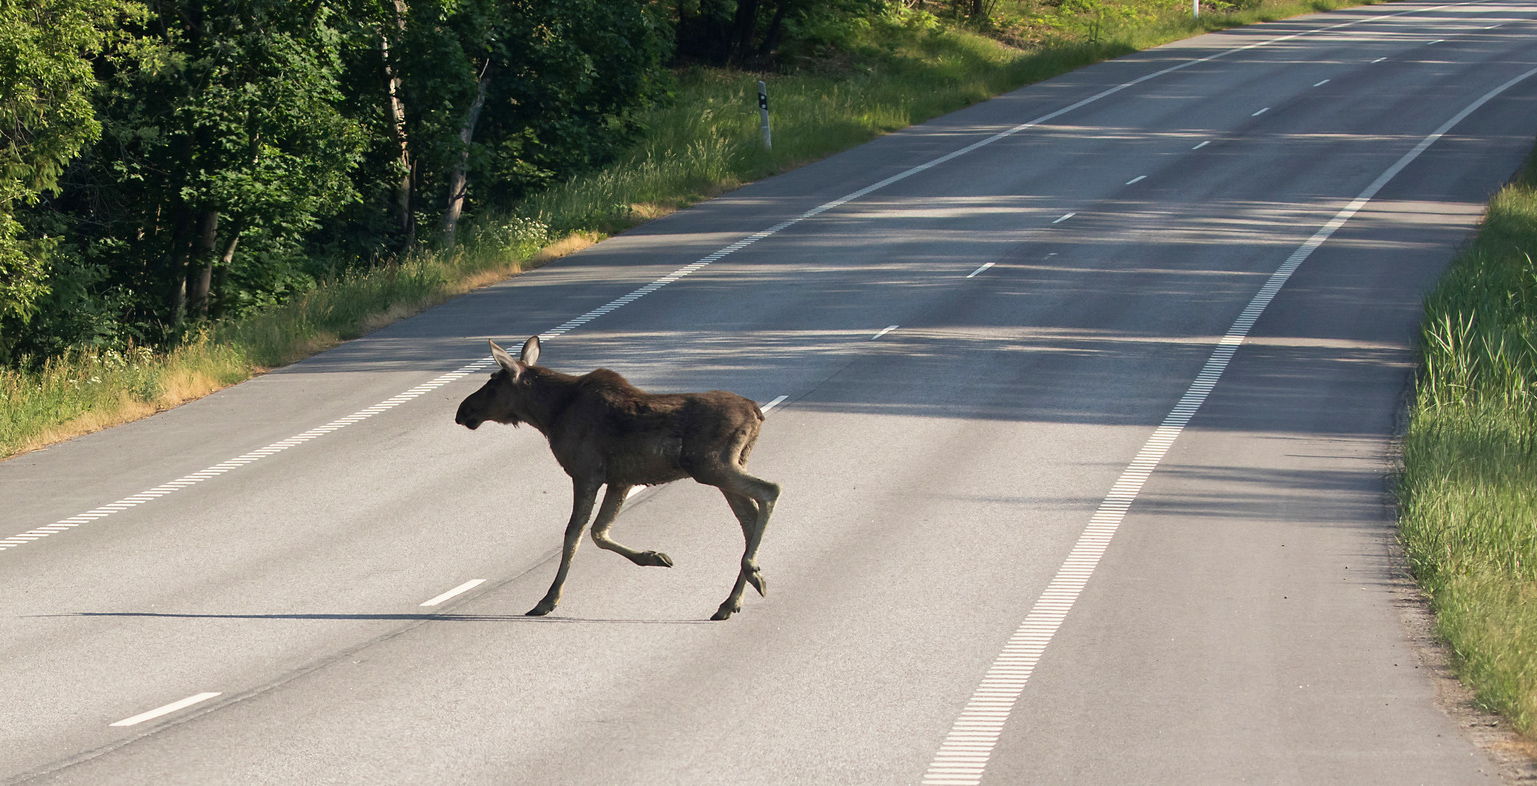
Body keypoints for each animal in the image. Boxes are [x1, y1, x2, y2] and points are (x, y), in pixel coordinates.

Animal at [451, 338, 780, 621]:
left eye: (492, 383)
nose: (462, 410)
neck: (549, 415)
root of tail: (756, 412)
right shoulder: (621, 479)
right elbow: (599, 531)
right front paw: (654, 556)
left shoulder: (586, 472)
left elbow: (574, 533)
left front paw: (548, 599)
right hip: (727, 466)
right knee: (749, 519)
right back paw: (732, 599)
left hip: (710, 465)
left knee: (770, 491)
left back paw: (751, 572)